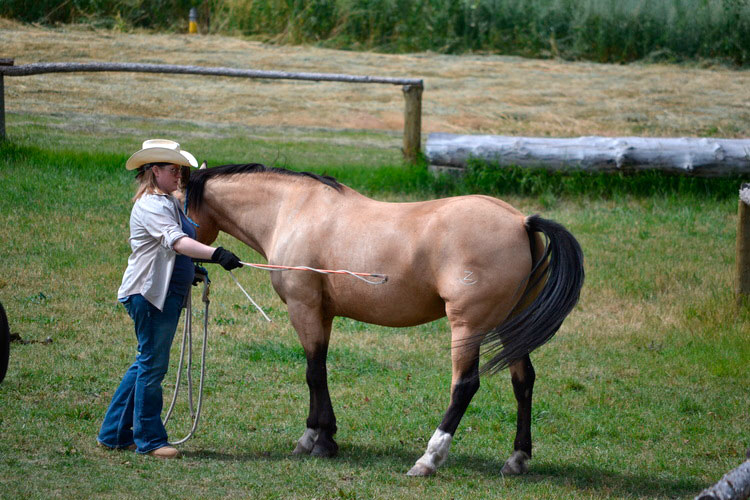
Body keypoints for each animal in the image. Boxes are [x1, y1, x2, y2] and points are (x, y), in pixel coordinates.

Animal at [184, 165, 588, 476]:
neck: (293, 209)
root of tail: (522, 221)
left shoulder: (304, 309)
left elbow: (313, 372)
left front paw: (313, 439)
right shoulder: (323, 314)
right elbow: (322, 370)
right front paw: (327, 437)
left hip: (468, 328)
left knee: (465, 386)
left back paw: (429, 459)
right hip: (511, 325)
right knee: (524, 383)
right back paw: (516, 459)